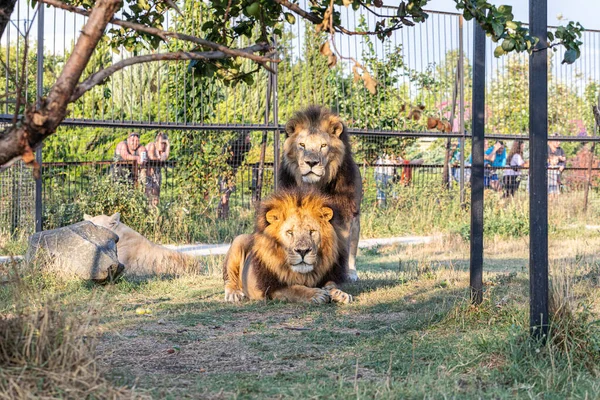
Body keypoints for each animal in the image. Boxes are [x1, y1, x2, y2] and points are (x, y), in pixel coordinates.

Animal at [225, 188, 356, 304]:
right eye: (290, 232)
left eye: (312, 231)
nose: (303, 251)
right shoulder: (272, 288)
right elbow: (294, 289)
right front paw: (315, 294)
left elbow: (331, 284)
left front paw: (339, 293)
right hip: (238, 240)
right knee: (229, 279)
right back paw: (234, 294)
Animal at [280, 106, 364, 282]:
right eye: (302, 145)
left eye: (323, 145)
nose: (311, 163)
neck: (315, 185)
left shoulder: (344, 215)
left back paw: (351, 273)